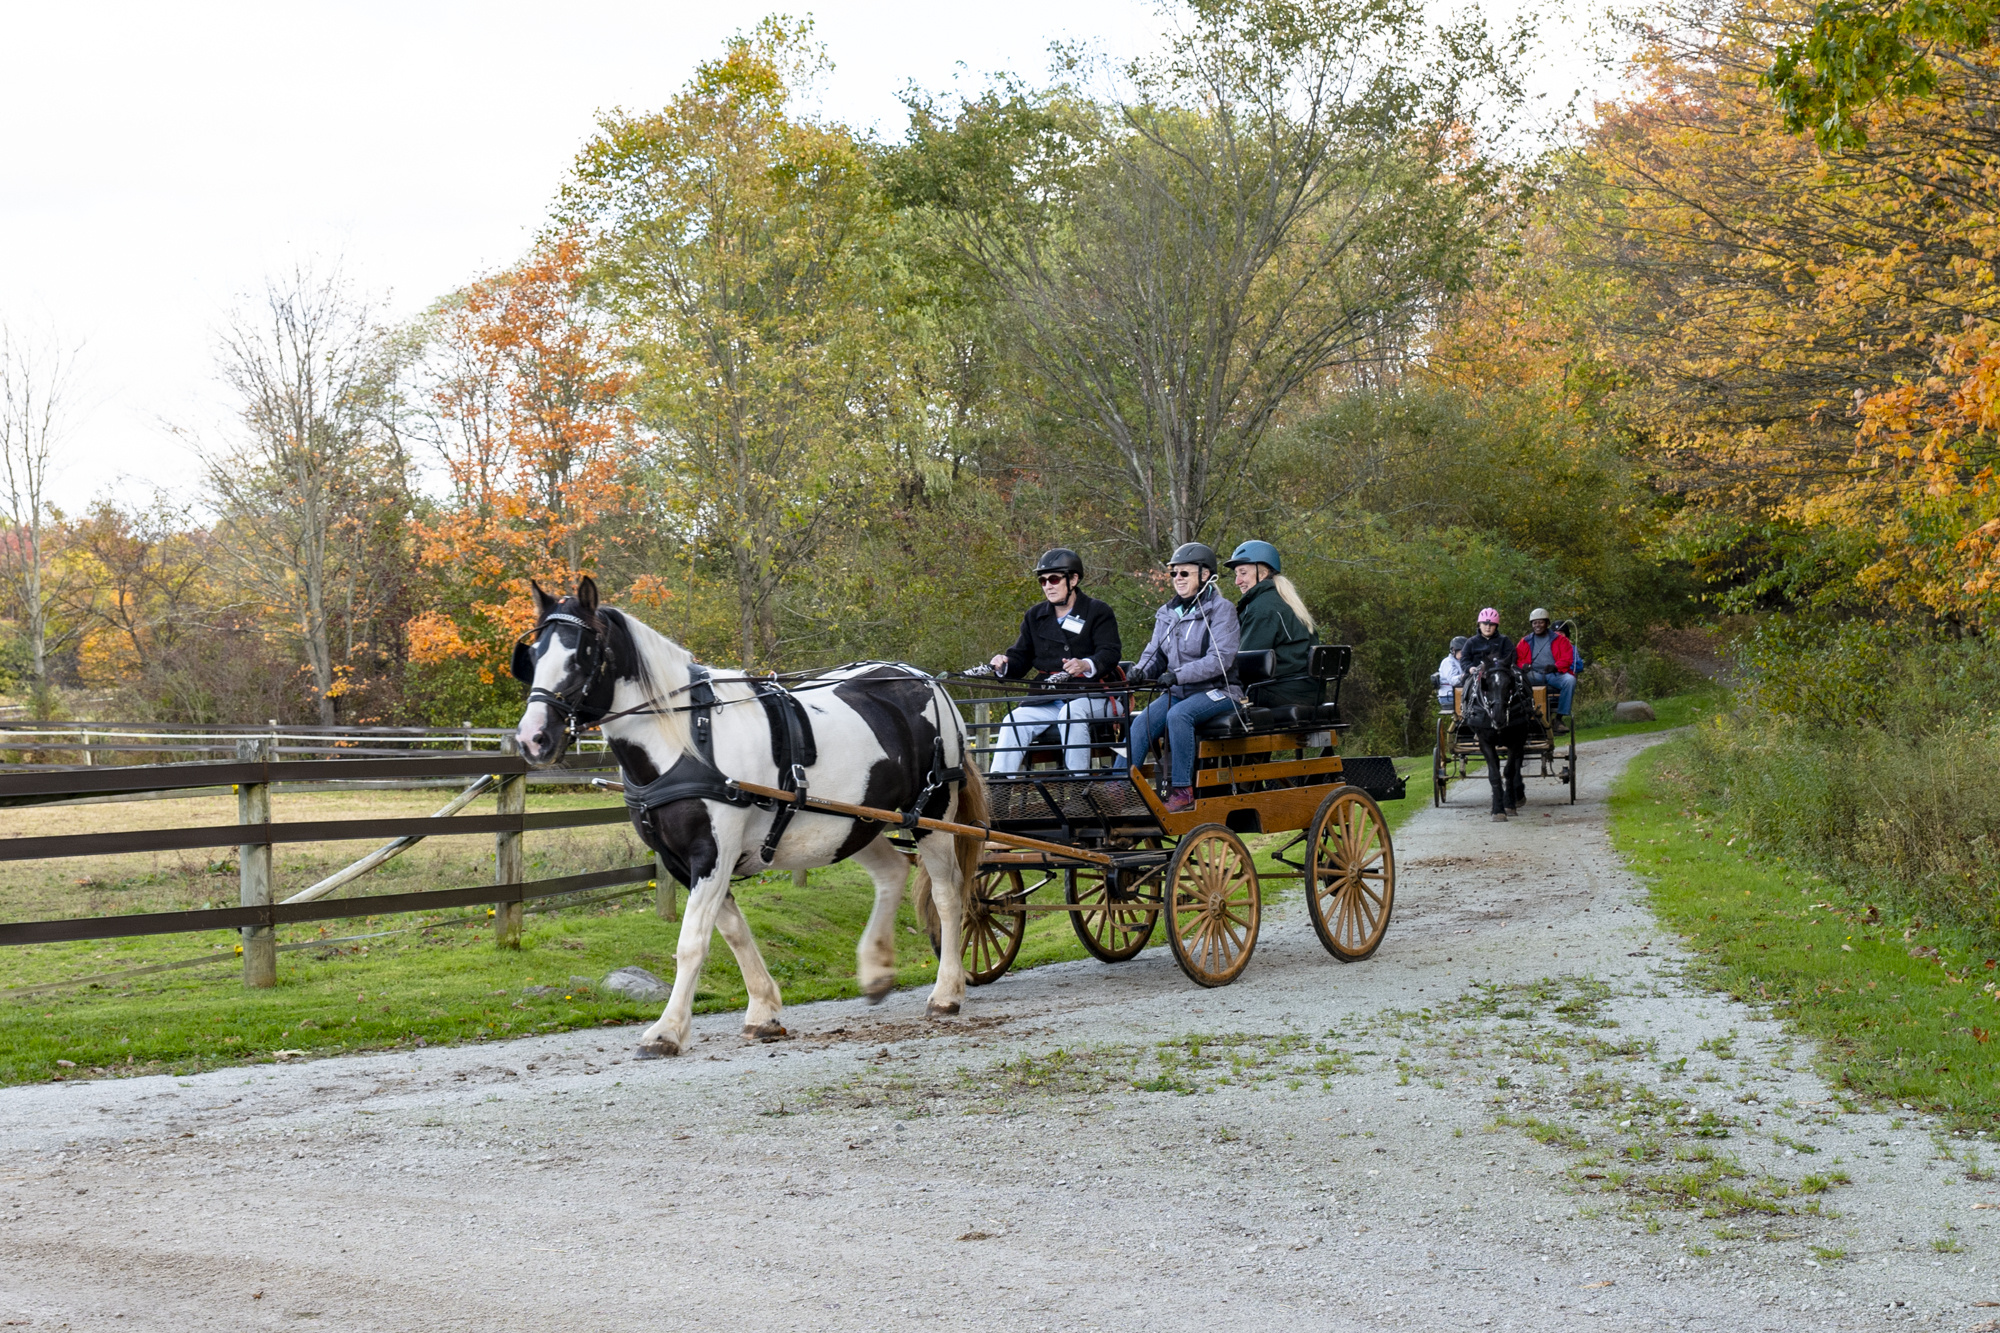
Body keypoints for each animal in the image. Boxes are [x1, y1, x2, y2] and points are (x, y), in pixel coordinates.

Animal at [512, 576, 988, 1056]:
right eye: (533, 657)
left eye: (582, 654)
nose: (533, 738)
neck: (687, 741)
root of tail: (925, 680)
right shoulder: (680, 861)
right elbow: (733, 932)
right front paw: (763, 1011)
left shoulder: (711, 853)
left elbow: (693, 941)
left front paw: (667, 1030)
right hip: (854, 822)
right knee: (892, 872)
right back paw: (876, 970)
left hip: (932, 816)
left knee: (948, 896)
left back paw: (946, 993)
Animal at [1464, 660, 1520, 816]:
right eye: (1486, 685)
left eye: (1509, 684)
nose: (1498, 716)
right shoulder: (1485, 742)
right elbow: (1494, 774)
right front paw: (1498, 809)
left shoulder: (1516, 739)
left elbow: (1509, 771)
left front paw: (1509, 804)